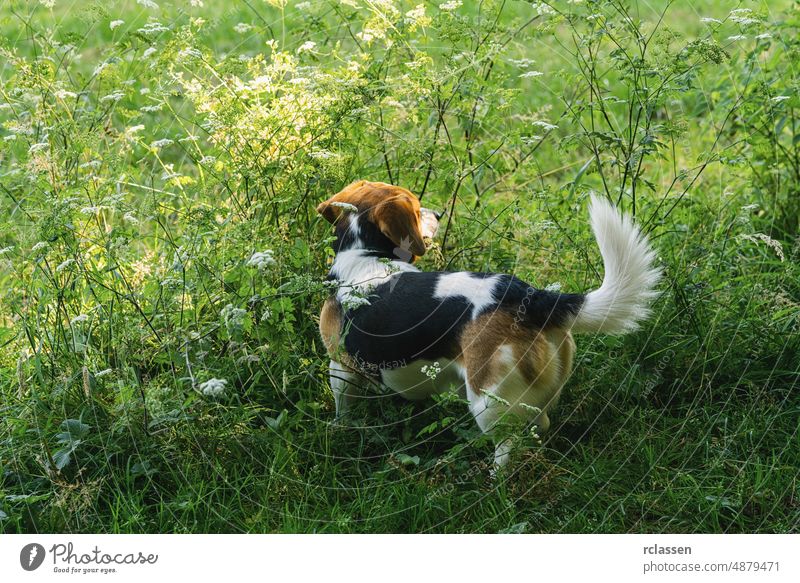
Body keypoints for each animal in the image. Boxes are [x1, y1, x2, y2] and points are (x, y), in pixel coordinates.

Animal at [316, 180, 660, 468]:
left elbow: (343, 406)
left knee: (507, 444)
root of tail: (528, 296)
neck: (365, 255)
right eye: (416, 209)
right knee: (539, 426)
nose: (438, 214)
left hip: (487, 398)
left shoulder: (340, 366)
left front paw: (338, 429)